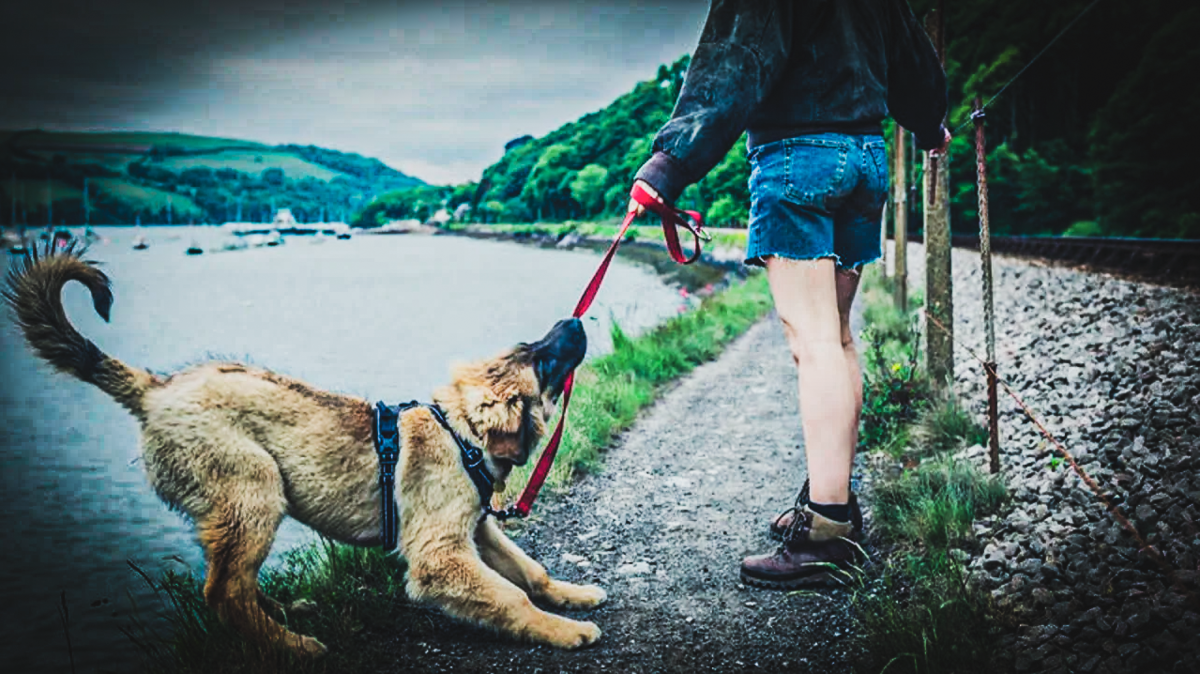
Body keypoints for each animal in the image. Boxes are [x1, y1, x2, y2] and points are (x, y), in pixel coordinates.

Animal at [4, 242, 604, 657]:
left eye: (534, 348)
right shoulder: (440, 554)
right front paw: (563, 630)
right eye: (543, 360)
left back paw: (284, 611)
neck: (461, 436)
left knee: (233, 583)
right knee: (223, 591)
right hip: (252, 488)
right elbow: (511, 596)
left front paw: (571, 596)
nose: (574, 320)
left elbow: (530, 572)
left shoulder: (477, 529)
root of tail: (155, 389)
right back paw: (292, 646)